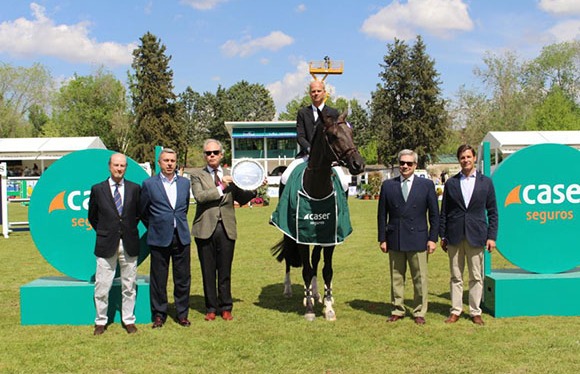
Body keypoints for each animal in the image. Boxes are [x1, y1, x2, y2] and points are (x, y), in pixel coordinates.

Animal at [270, 109, 362, 320]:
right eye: (334, 136)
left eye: (351, 133)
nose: (358, 164)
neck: (317, 188)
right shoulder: (300, 237)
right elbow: (305, 269)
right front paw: (310, 309)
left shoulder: (329, 237)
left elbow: (326, 270)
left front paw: (327, 307)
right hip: (288, 233)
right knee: (290, 258)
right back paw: (289, 290)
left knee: (315, 261)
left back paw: (317, 293)